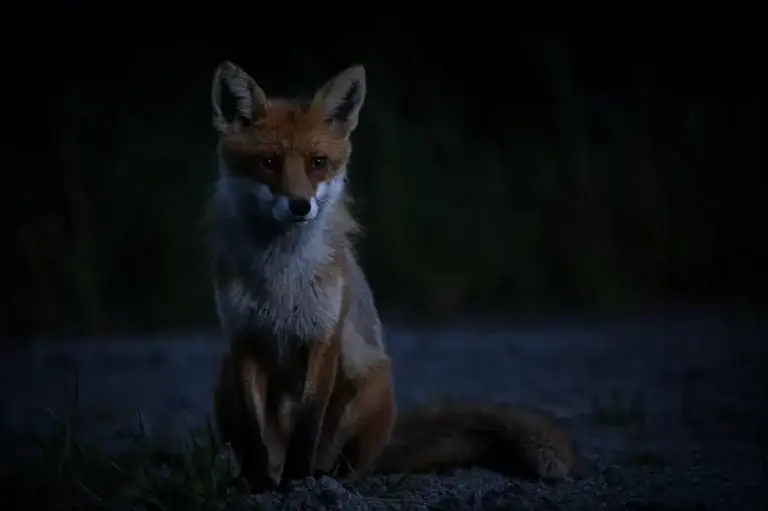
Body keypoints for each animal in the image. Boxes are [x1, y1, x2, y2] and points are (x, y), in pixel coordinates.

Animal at [205, 60, 577, 491]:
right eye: (268, 163)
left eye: (318, 162)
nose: (300, 206)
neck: (281, 280)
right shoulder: (242, 339)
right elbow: (253, 432)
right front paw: (258, 484)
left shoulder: (324, 338)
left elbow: (308, 427)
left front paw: (297, 484)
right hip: (223, 376)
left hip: (373, 382)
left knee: (350, 464)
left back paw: (327, 477)